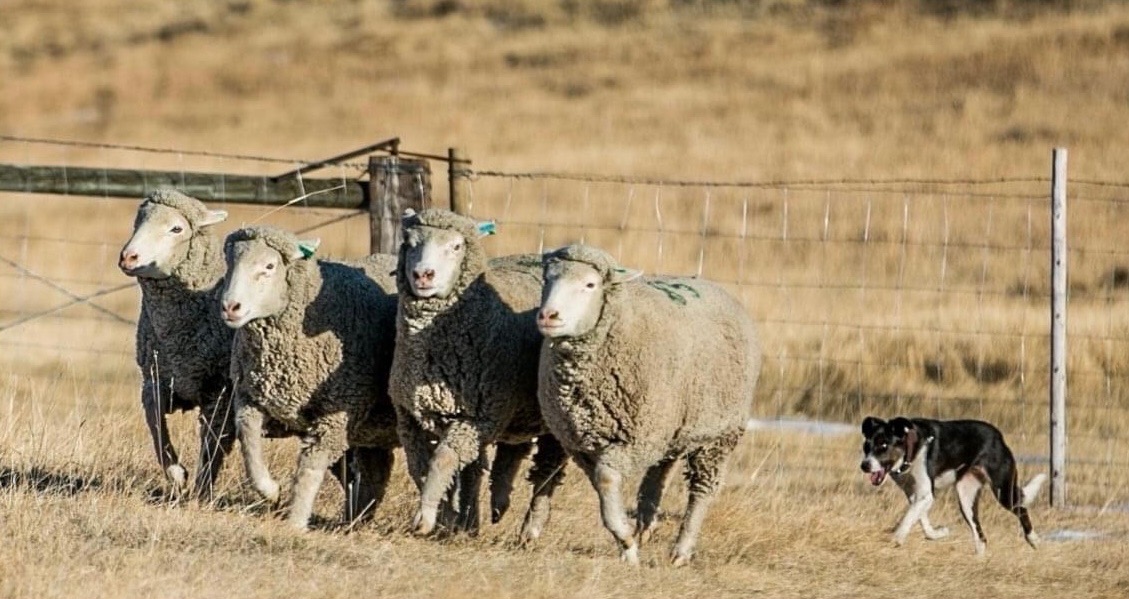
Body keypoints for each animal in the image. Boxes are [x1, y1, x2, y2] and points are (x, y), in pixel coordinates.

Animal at [118, 189, 237, 500]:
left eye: (176, 229)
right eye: (137, 222)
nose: (128, 257)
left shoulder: (219, 391)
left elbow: (213, 444)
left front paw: (202, 492)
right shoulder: (157, 379)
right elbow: (156, 427)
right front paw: (176, 475)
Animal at [220, 225, 402, 530]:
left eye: (269, 266)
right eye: (230, 264)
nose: (230, 307)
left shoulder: (336, 414)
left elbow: (310, 468)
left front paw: (294, 523)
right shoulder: (252, 397)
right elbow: (248, 440)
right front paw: (269, 489)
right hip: (375, 426)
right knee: (376, 470)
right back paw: (355, 521)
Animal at [391, 208, 568, 541]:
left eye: (456, 247)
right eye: (410, 242)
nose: (423, 275)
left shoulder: (475, 419)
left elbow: (443, 460)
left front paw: (426, 517)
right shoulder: (410, 419)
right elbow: (420, 467)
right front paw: (446, 516)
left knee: (547, 471)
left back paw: (530, 529)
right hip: (514, 413)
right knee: (504, 456)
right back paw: (491, 508)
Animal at [536, 244, 762, 566]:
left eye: (590, 285)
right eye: (547, 279)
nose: (548, 316)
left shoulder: (632, 442)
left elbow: (606, 481)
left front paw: (626, 541)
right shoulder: (580, 446)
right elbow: (604, 490)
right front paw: (628, 543)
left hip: (719, 433)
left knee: (702, 490)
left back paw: (681, 550)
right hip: (671, 430)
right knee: (660, 474)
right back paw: (647, 524)